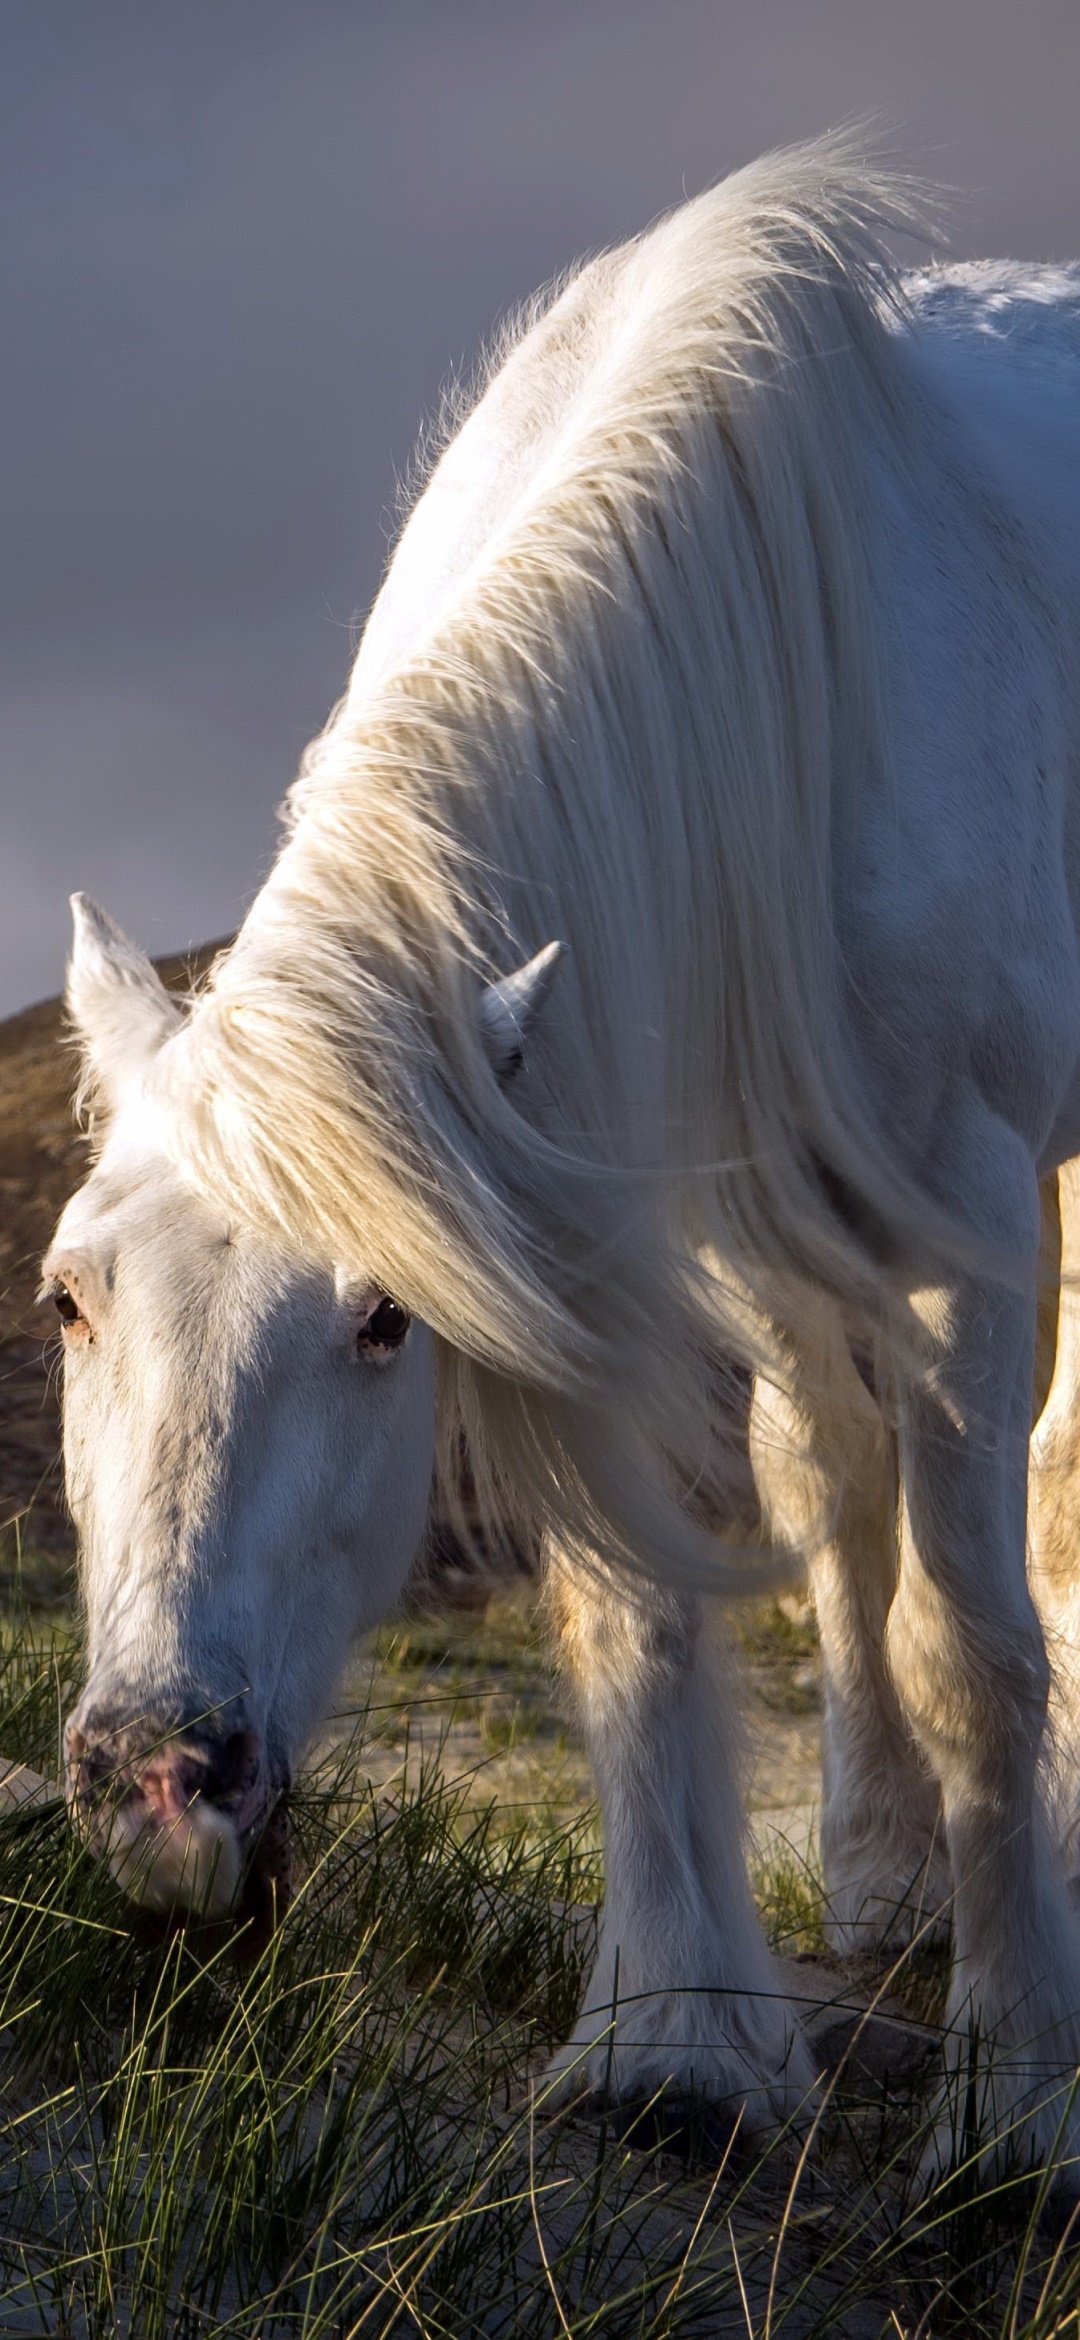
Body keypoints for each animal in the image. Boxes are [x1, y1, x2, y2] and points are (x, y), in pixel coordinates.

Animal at [44, 133, 1080, 2176]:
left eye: (382, 1320)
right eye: (67, 1303)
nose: (157, 1782)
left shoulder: (968, 1214)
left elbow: (976, 1639)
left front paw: (1015, 2095)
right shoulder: (619, 1212)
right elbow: (635, 1603)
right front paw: (675, 2043)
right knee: (832, 1486)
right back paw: (881, 1876)